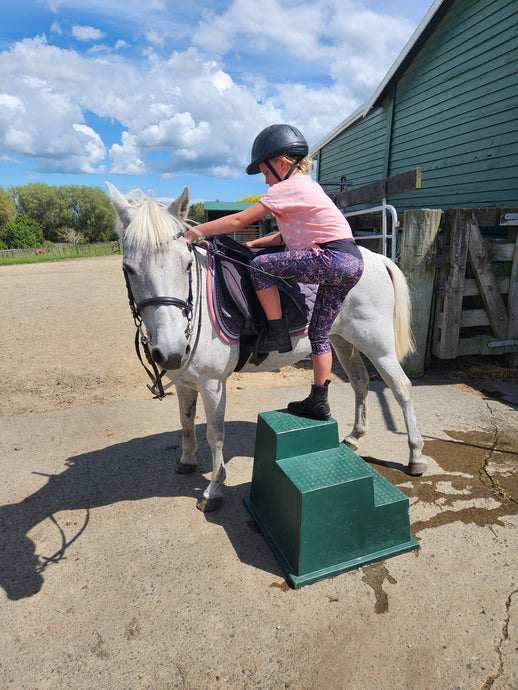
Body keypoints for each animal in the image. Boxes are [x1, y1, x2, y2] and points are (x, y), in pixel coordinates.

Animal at [106, 183, 426, 510]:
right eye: (128, 268)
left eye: (186, 265)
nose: (171, 351)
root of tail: (374, 258)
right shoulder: (185, 382)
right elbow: (186, 421)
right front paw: (186, 460)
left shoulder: (212, 384)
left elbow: (215, 434)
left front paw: (213, 489)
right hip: (339, 338)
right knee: (360, 381)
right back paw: (353, 437)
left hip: (377, 345)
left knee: (401, 388)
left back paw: (415, 455)